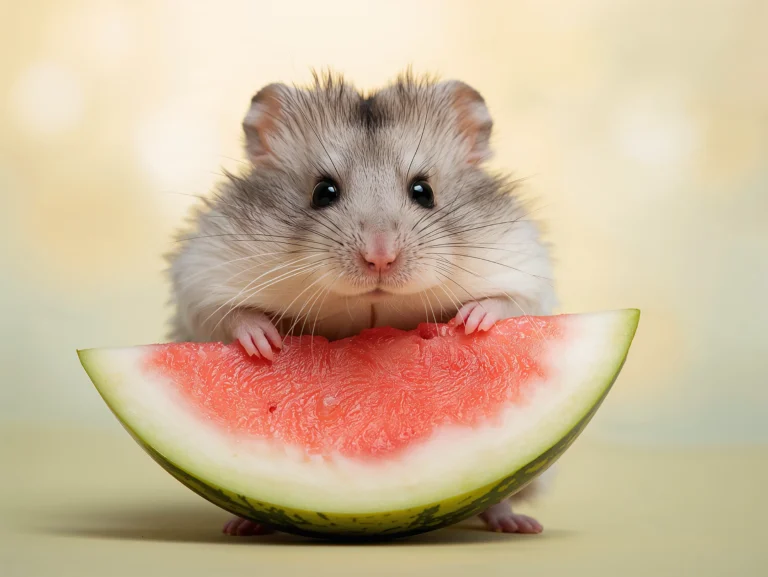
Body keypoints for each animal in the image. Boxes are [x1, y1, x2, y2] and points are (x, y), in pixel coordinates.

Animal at [167, 71, 558, 536]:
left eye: (424, 191)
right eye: (323, 191)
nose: (380, 258)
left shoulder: (524, 264)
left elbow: (508, 300)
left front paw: (472, 321)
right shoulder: (202, 274)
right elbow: (228, 313)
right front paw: (263, 341)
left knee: (500, 496)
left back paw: (517, 523)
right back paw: (244, 525)